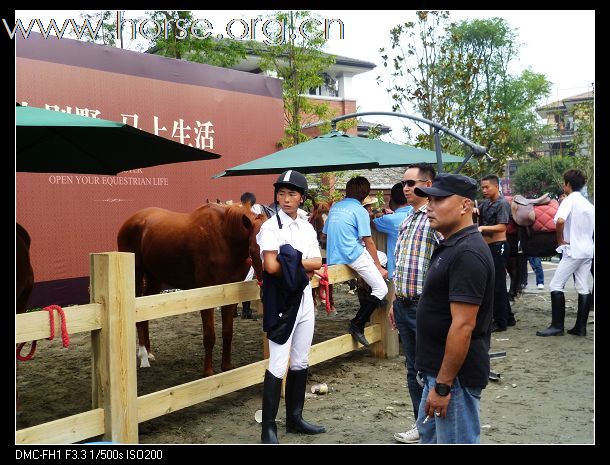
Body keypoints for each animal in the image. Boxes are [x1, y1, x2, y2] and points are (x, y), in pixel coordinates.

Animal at [116, 204, 264, 376]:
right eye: (253, 249)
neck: (224, 238)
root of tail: (131, 220)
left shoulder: (230, 294)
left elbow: (228, 332)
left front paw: (227, 368)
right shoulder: (207, 295)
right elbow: (209, 336)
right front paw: (208, 372)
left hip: (154, 278)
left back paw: (149, 353)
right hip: (137, 275)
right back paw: (143, 357)